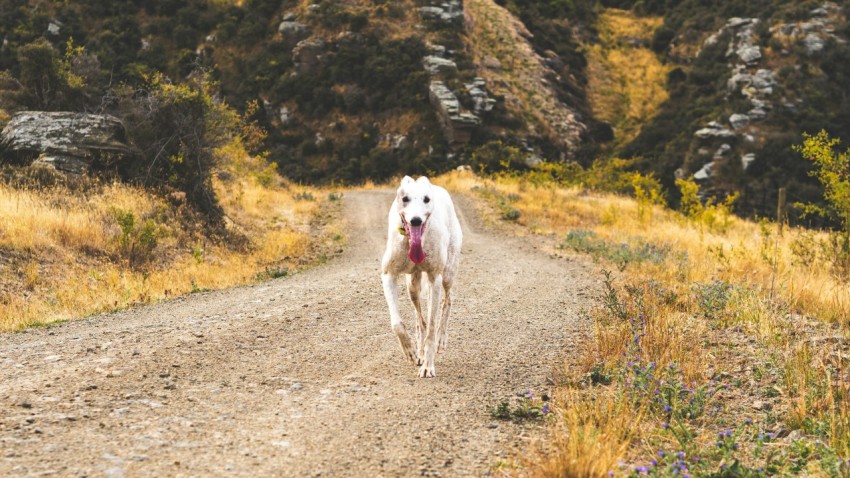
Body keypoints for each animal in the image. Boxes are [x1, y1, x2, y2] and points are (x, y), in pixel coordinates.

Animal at [382, 176, 464, 378]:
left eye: (426, 199)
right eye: (405, 198)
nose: (416, 220)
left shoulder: (435, 278)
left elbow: (432, 326)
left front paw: (428, 365)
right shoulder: (388, 275)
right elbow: (397, 324)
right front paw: (410, 351)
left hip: (448, 274)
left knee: (448, 301)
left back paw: (441, 340)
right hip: (412, 285)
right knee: (419, 318)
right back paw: (418, 350)